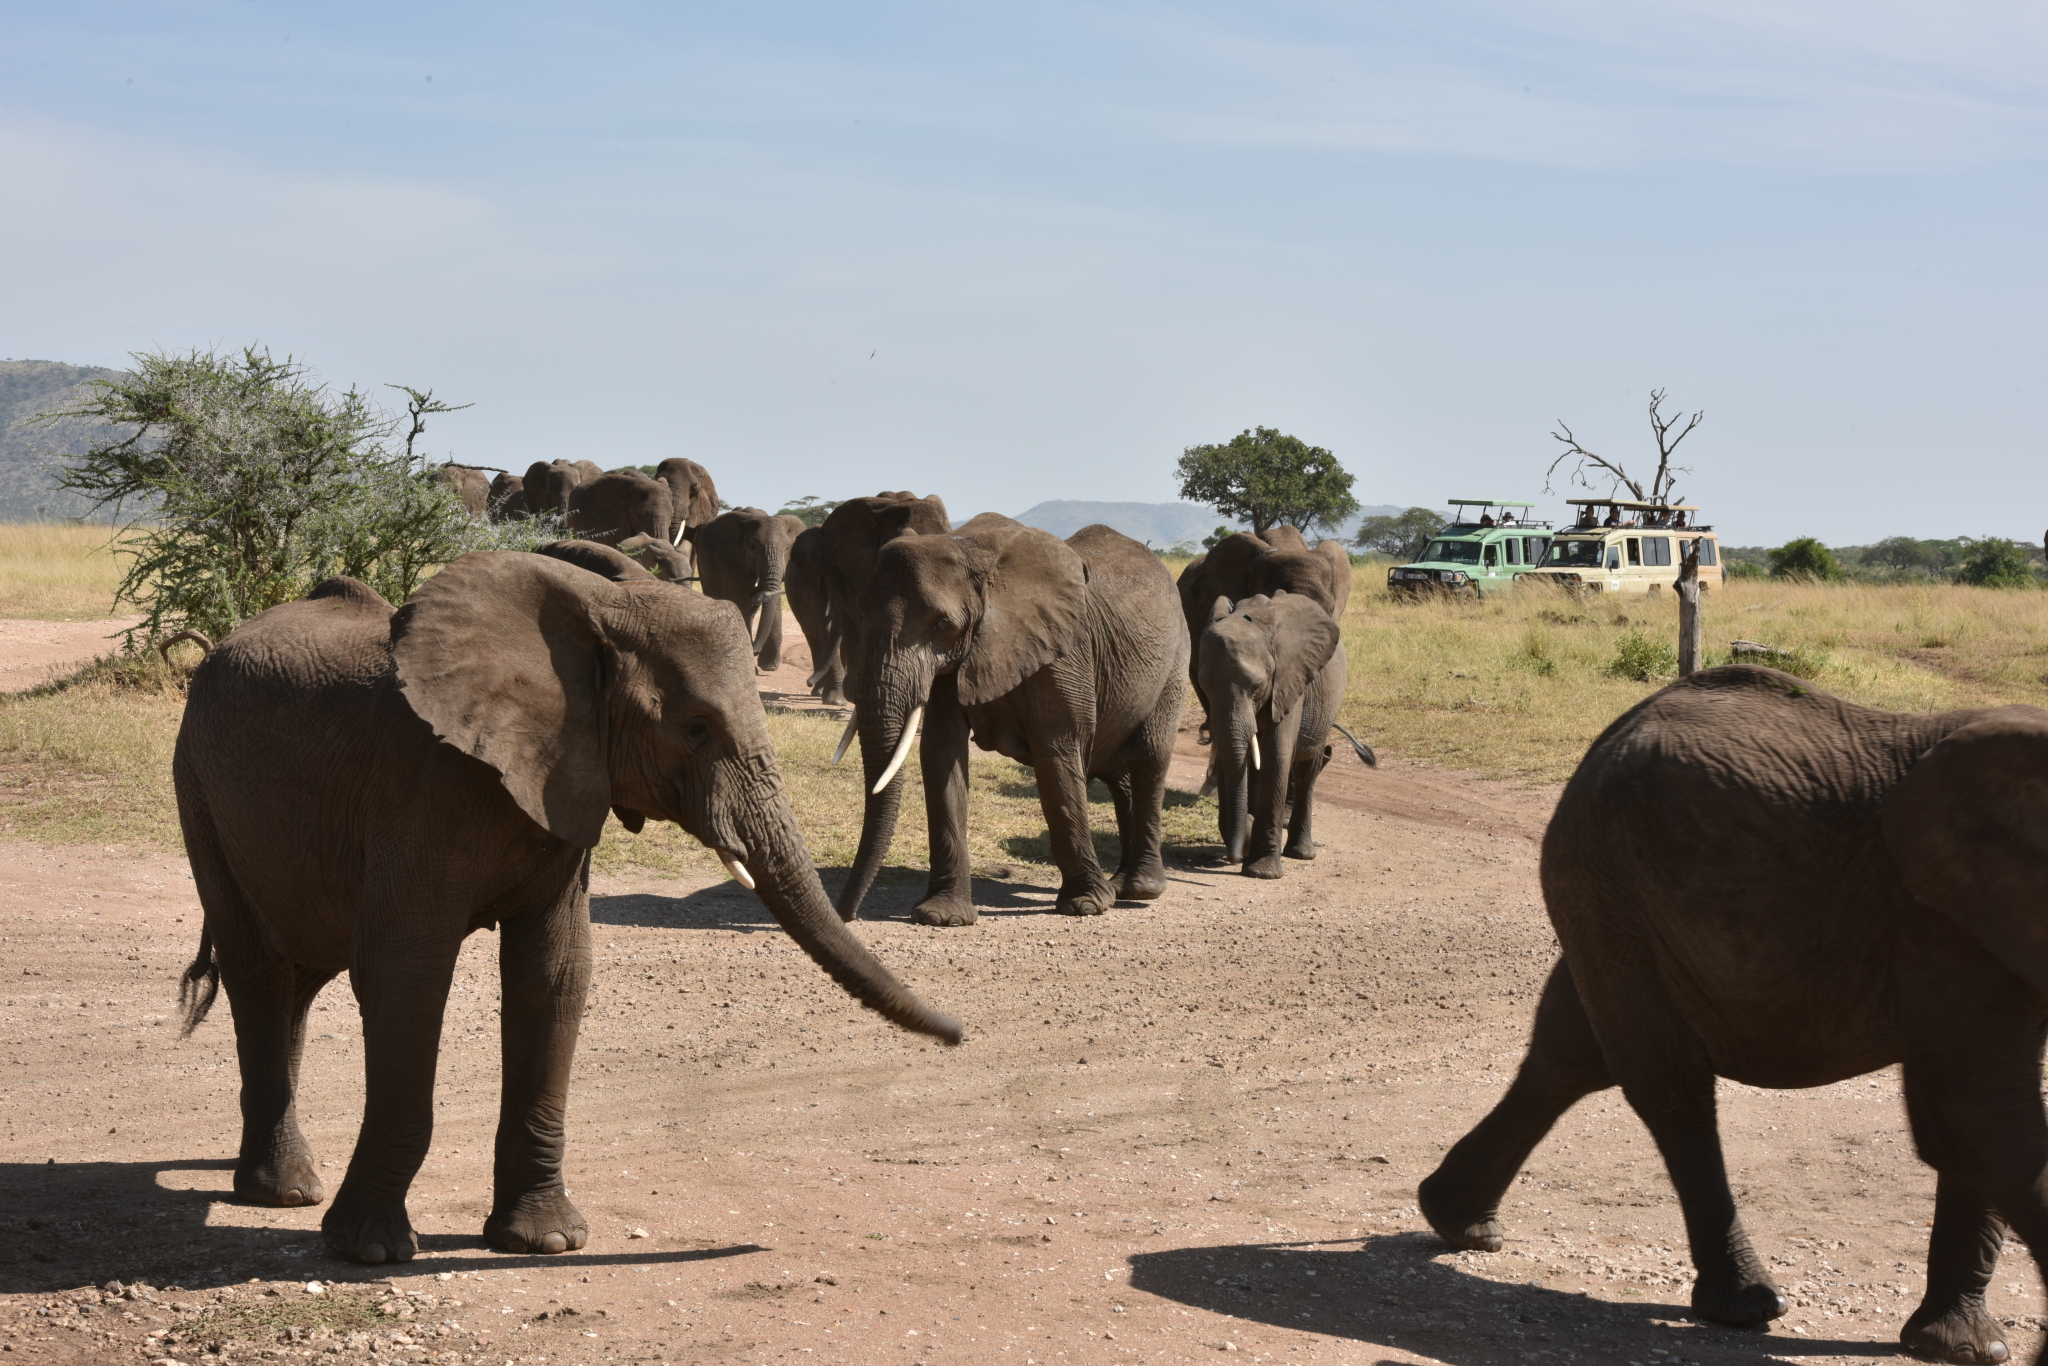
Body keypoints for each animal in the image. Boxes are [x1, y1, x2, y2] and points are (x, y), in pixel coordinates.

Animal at [169, 548, 958, 1269]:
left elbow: (554, 972)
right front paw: (371, 1251)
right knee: (258, 971)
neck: (596, 617)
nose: (958, 1036)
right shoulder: (419, 785)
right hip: (196, 785)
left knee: (297, 979)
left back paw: (282, 1177)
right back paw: (283, 1193)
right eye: (696, 728)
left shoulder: (567, 780)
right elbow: (407, 972)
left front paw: (545, 1241)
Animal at [696, 509, 806, 675]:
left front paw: (770, 666)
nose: (755, 651)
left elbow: (774, 602)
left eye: (787, 549)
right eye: (753, 547)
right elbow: (740, 604)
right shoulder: (731, 562)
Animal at [782, 528, 847, 704]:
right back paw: (818, 692)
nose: (807, 682)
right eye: (827, 568)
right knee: (814, 640)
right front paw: (836, 702)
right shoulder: (816, 584)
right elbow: (826, 630)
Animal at [839, 516, 1187, 929]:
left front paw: (1085, 906)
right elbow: (941, 754)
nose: (845, 913)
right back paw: (1119, 884)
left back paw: (1138, 889)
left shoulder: (1063, 651)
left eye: (942, 624)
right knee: (1118, 771)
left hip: (1175, 662)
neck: (972, 551)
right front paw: (942, 916)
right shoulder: (955, 662)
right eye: (859, 612)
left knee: (1150, 758)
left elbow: (1057, 755)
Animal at [1417, 663, 2048, 1359]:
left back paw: (1458, 1225)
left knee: (1571, 1051)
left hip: (1610, 894)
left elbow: (1977, 1118)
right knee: (1670, 1085)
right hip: (1610, 874)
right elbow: (1973, 1114)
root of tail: (1625, 720)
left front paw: (1965, 1351)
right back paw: (1746, 1305)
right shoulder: (1940, 919)